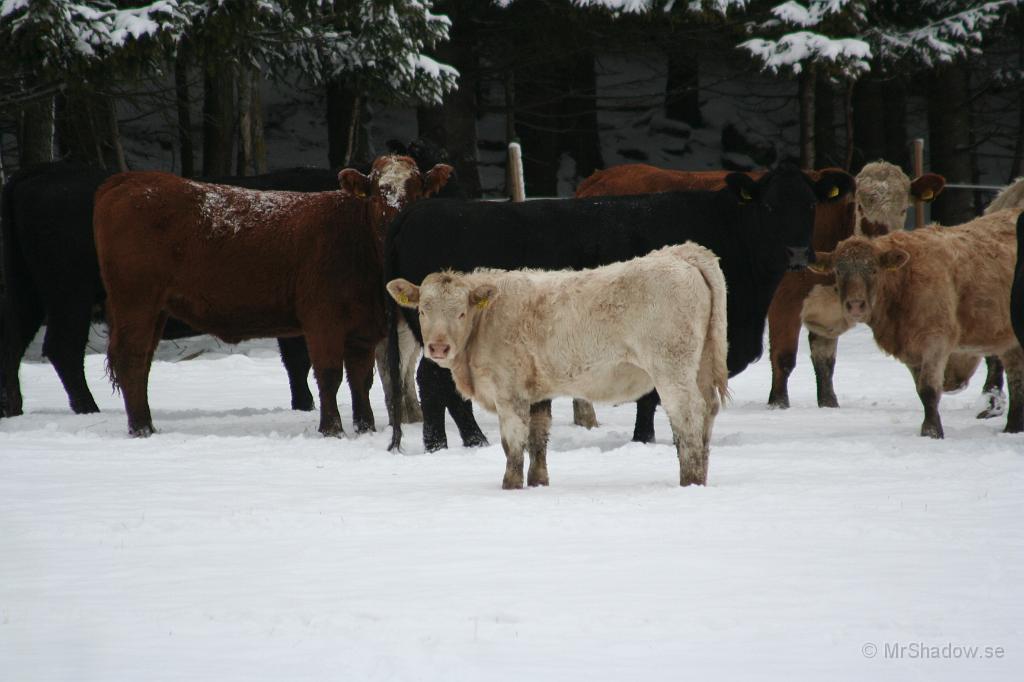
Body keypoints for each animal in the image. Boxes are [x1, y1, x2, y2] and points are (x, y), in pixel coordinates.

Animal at [0, 161, 335, 417]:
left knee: (14, 344)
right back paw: (88, 408)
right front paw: (306, 405)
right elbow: (300, 361)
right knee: (63, 348)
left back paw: (13, 409)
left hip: (31, 295)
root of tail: (43, 170)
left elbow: (296, 363)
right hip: (71, 297)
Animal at [93, 154, 452, 436]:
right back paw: (141, 428)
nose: (396, 220)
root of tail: (128, 179)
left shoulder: (363, 328)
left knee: (142, 363)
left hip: (156, 309)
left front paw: (365, 427)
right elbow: (329, 374)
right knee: (131, 358)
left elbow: (360, 379)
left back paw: (146, 424)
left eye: (417, 189)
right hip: (135, 301)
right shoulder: (322, 320)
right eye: (377, 193)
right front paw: (332, 429)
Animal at [385, 162, 856, 450]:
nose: (798, 253)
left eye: (810, 204)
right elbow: (651, 397)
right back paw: (446, 445)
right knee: (433, 381)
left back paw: (469, 442)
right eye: (770, 205)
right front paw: (645, 439)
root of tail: (419, 209)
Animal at [385, 244, 729, 489]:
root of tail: (680, 253)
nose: (438, 347)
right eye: (423, 310)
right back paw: (702, 476)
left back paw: (690, 480)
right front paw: (538, 482)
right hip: (702, 365)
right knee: (709, 409)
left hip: (672, 369)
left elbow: (513, 443)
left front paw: (510, 485)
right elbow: (538, 438)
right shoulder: (537, 392)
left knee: (688, 415)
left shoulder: (508, 392)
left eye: (460, 312)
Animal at [806, 206, 1024, 438]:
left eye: (874, 270)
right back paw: (1013, 427)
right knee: (1016, 378)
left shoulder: (935, 341)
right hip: (1009, 341)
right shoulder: (911, 352)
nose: (855, 305)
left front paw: (931, 431)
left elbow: (929, 389)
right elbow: (922, 390)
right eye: (838, 271)